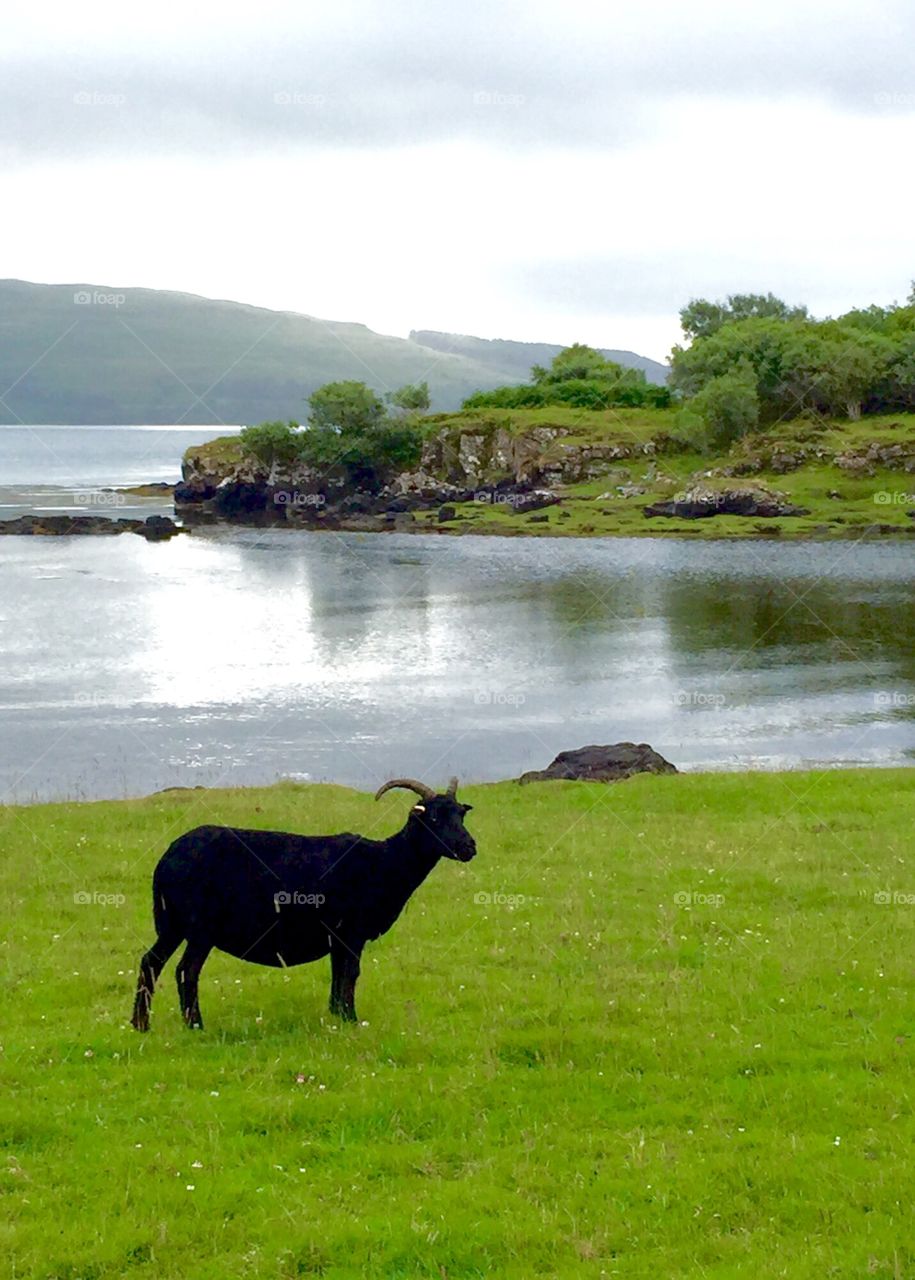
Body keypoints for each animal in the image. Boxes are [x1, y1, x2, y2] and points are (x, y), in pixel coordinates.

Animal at [132, 773, 476, 1034]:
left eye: (460, 814)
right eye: (434, 817)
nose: (469, 847)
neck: (386, 862)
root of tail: (166, 859)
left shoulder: (338, 937)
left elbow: (339, 974)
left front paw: (337, 1015)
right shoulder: (352, 932)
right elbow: (351, 973)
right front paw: (352, 1020)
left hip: (172, 924)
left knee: (150, 962)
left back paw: (140, 1024)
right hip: (200, 928)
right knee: (186, 971)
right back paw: (195, 1025)